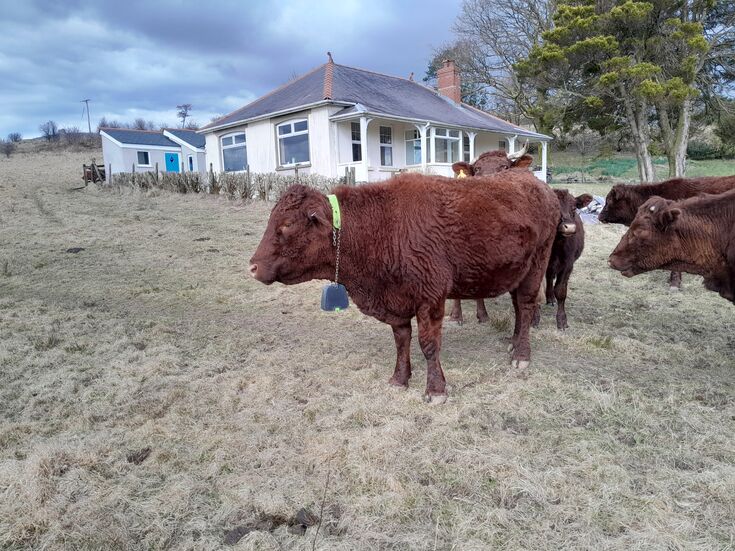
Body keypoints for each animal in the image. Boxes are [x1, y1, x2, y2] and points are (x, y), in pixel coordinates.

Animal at [249, 173, 560, 403]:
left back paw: (521, 356)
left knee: (527, 305)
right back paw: (513, 344)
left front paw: (435, 390)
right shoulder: (396, 303)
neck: (381, 226)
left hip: (536, 266)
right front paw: (399, 379)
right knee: (519, 307)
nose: (252, 266)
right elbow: (402, 340)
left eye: (287, 224)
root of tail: (538, 184)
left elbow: (428, 344)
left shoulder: (431, 298)